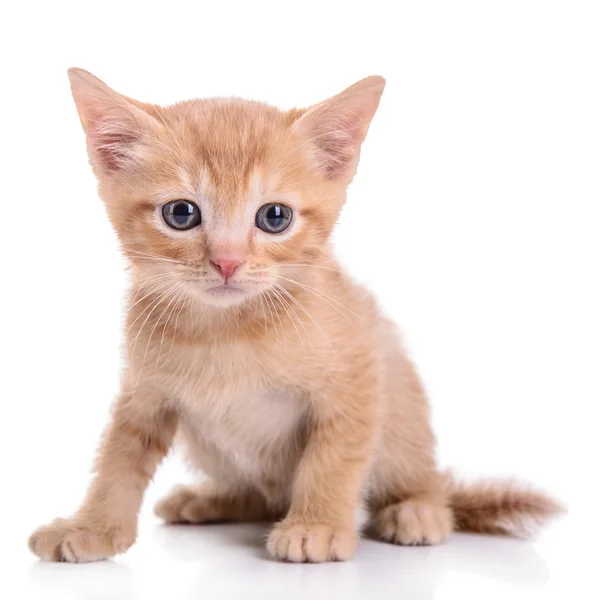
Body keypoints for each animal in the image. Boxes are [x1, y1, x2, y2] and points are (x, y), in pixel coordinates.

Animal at [28, 69, 564, 564]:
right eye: (181, 213)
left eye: (275, 217)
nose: (227, 262)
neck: (225, 330)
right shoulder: (143, 393)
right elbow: (117, 461)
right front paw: (91, 527)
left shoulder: (357, 373)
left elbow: (332, 458)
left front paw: (317, 526)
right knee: (257, 497)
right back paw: (210, 499)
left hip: (401, 408)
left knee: (423, 479)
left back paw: (418, 509)